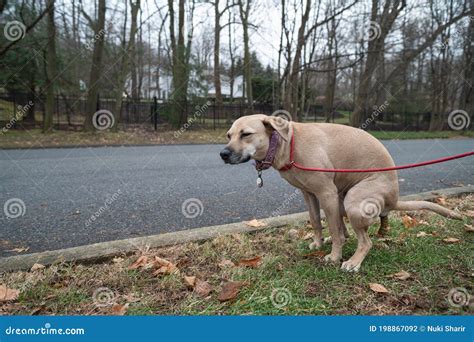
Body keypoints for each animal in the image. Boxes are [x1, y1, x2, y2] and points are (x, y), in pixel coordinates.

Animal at [222, 115, 462, 272]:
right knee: (346, 229)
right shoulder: (309, 194)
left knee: (364, 241)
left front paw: (335, 256)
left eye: (246, 134)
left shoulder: (325, 193)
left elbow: (334, 230)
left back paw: (354, 261)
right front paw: (319, 244)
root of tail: (394, 199)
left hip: (353, 203)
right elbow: (316, 222)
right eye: (228, 135)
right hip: (341, 200)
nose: (223, 154)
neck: (286, 143)